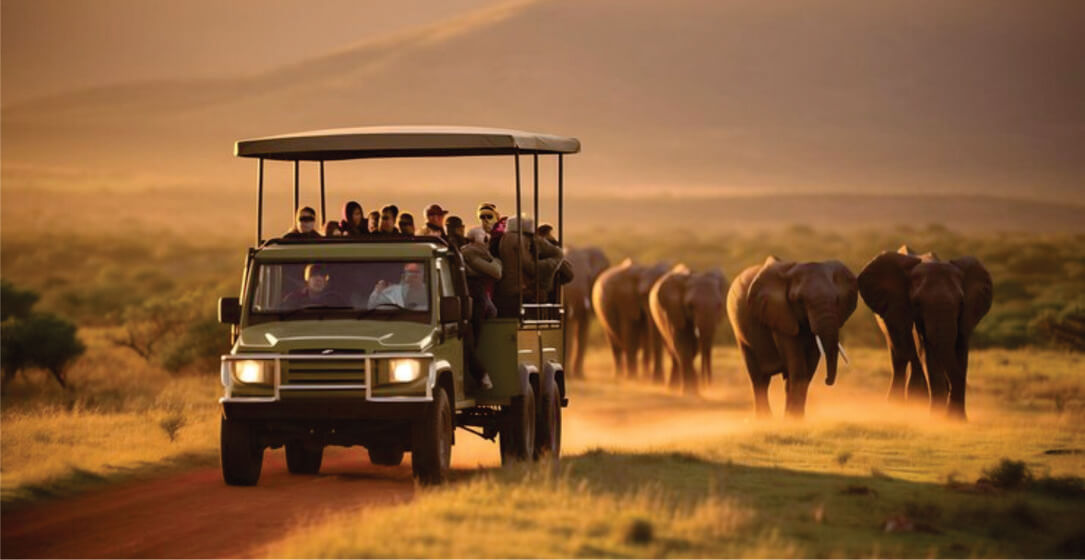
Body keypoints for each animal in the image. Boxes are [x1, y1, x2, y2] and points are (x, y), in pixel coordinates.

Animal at [649, 265, 727, 396]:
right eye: (691, 306)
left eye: (719, 305)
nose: (707, 385)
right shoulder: (674, 310)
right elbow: (683, 345)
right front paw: (691, 392)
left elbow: (693, 348)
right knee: (672, 349)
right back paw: (673, 389)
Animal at [727, 256, 858, 419]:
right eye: (800, 300)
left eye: (837, 300)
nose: (827, 381)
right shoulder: (780, 314)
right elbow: (799, 369)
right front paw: (792, 421)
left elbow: (807, 370)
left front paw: (796, 420)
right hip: (740, 333)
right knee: (759, 379)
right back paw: (764, 420)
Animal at [857, 247, 992, 420]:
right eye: (917, 303)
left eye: (961, 303)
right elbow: (926, 352)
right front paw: (937, 418)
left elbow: (961, 351)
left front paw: (957, 421)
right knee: (901, 358)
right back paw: (900, 407)